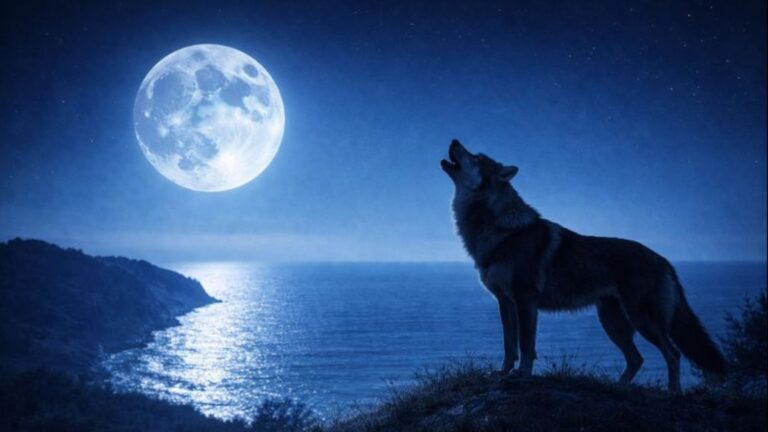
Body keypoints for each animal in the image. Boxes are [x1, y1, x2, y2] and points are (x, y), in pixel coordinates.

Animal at [441, 139, 726, 392]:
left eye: (476, 157)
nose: (454, 140)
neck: (501, 231)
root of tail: (666, 261)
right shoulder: (505, 302)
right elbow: (509, 344)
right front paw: (504, 372)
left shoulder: (525, 300)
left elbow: (525, 344)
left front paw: (522, 374)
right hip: (612, 323)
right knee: (637, 359)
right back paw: (618, 387)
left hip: (641, 320)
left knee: (672, 353)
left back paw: (673, 392)